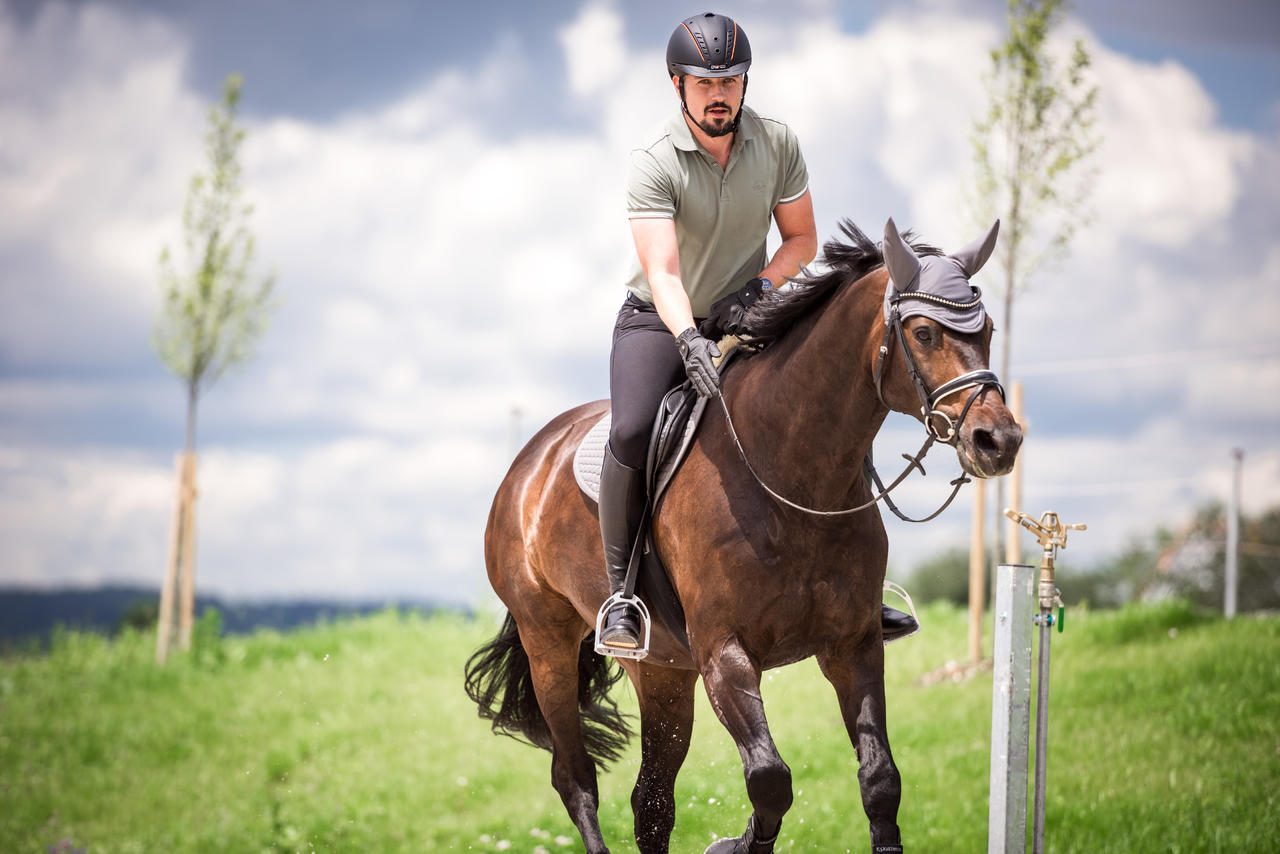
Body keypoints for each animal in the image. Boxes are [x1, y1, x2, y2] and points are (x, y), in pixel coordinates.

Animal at [465, 220, 1024, 854]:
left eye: (988, 331)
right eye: (924, 333)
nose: (998, 441)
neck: (791, 470)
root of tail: (530, 460)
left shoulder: (853, 643)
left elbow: (880, 781)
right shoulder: (724, 653)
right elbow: (770, 780)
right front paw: (736, 843)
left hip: (661, 671)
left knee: (651, 800)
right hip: (549, 643)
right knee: (575, 777)